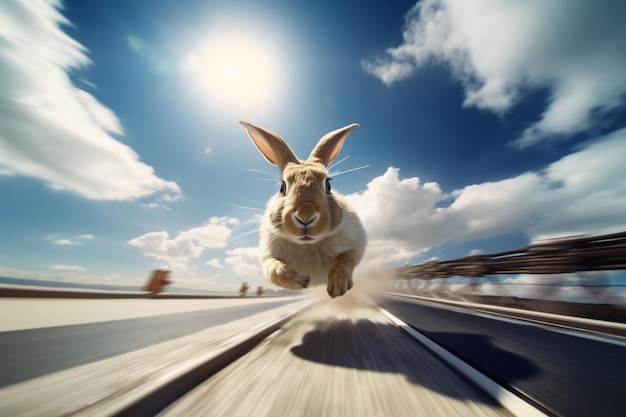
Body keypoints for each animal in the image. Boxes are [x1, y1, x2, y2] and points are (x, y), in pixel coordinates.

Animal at [239, 120, 366, 296]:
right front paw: (299, 280)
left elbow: (345, 258)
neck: (307, 244)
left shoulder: (356, 245)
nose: (306, 215)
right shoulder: (267, 256)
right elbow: (273, 268)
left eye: (328, 185)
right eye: (282, 187)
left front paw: (337, 286)